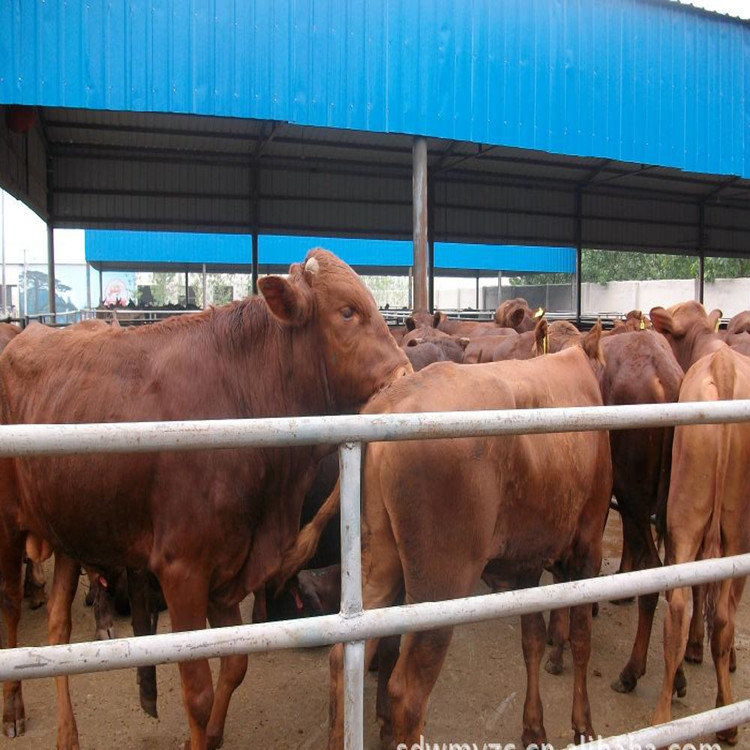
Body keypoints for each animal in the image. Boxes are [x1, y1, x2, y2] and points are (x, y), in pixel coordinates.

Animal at [0, 251, 412, 750]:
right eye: (347, 312)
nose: (407, 376)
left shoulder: (227, 566)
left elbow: (234, 665)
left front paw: (212, 735)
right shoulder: (182, 571)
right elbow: (198, 693)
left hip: (68, 530)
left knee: (58, 631)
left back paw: (67, 733)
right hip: (7, 527)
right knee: (10, 609)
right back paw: (13, 707)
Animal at [322, 328, 612, 750]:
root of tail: (391, 398)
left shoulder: (527, 562)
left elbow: (532, 639)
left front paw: (534, 728)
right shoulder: (588, 544)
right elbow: (580, 638)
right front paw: (583, 726)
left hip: (378, 562)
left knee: (344, 658)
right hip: (441, 580)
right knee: (408, 691)